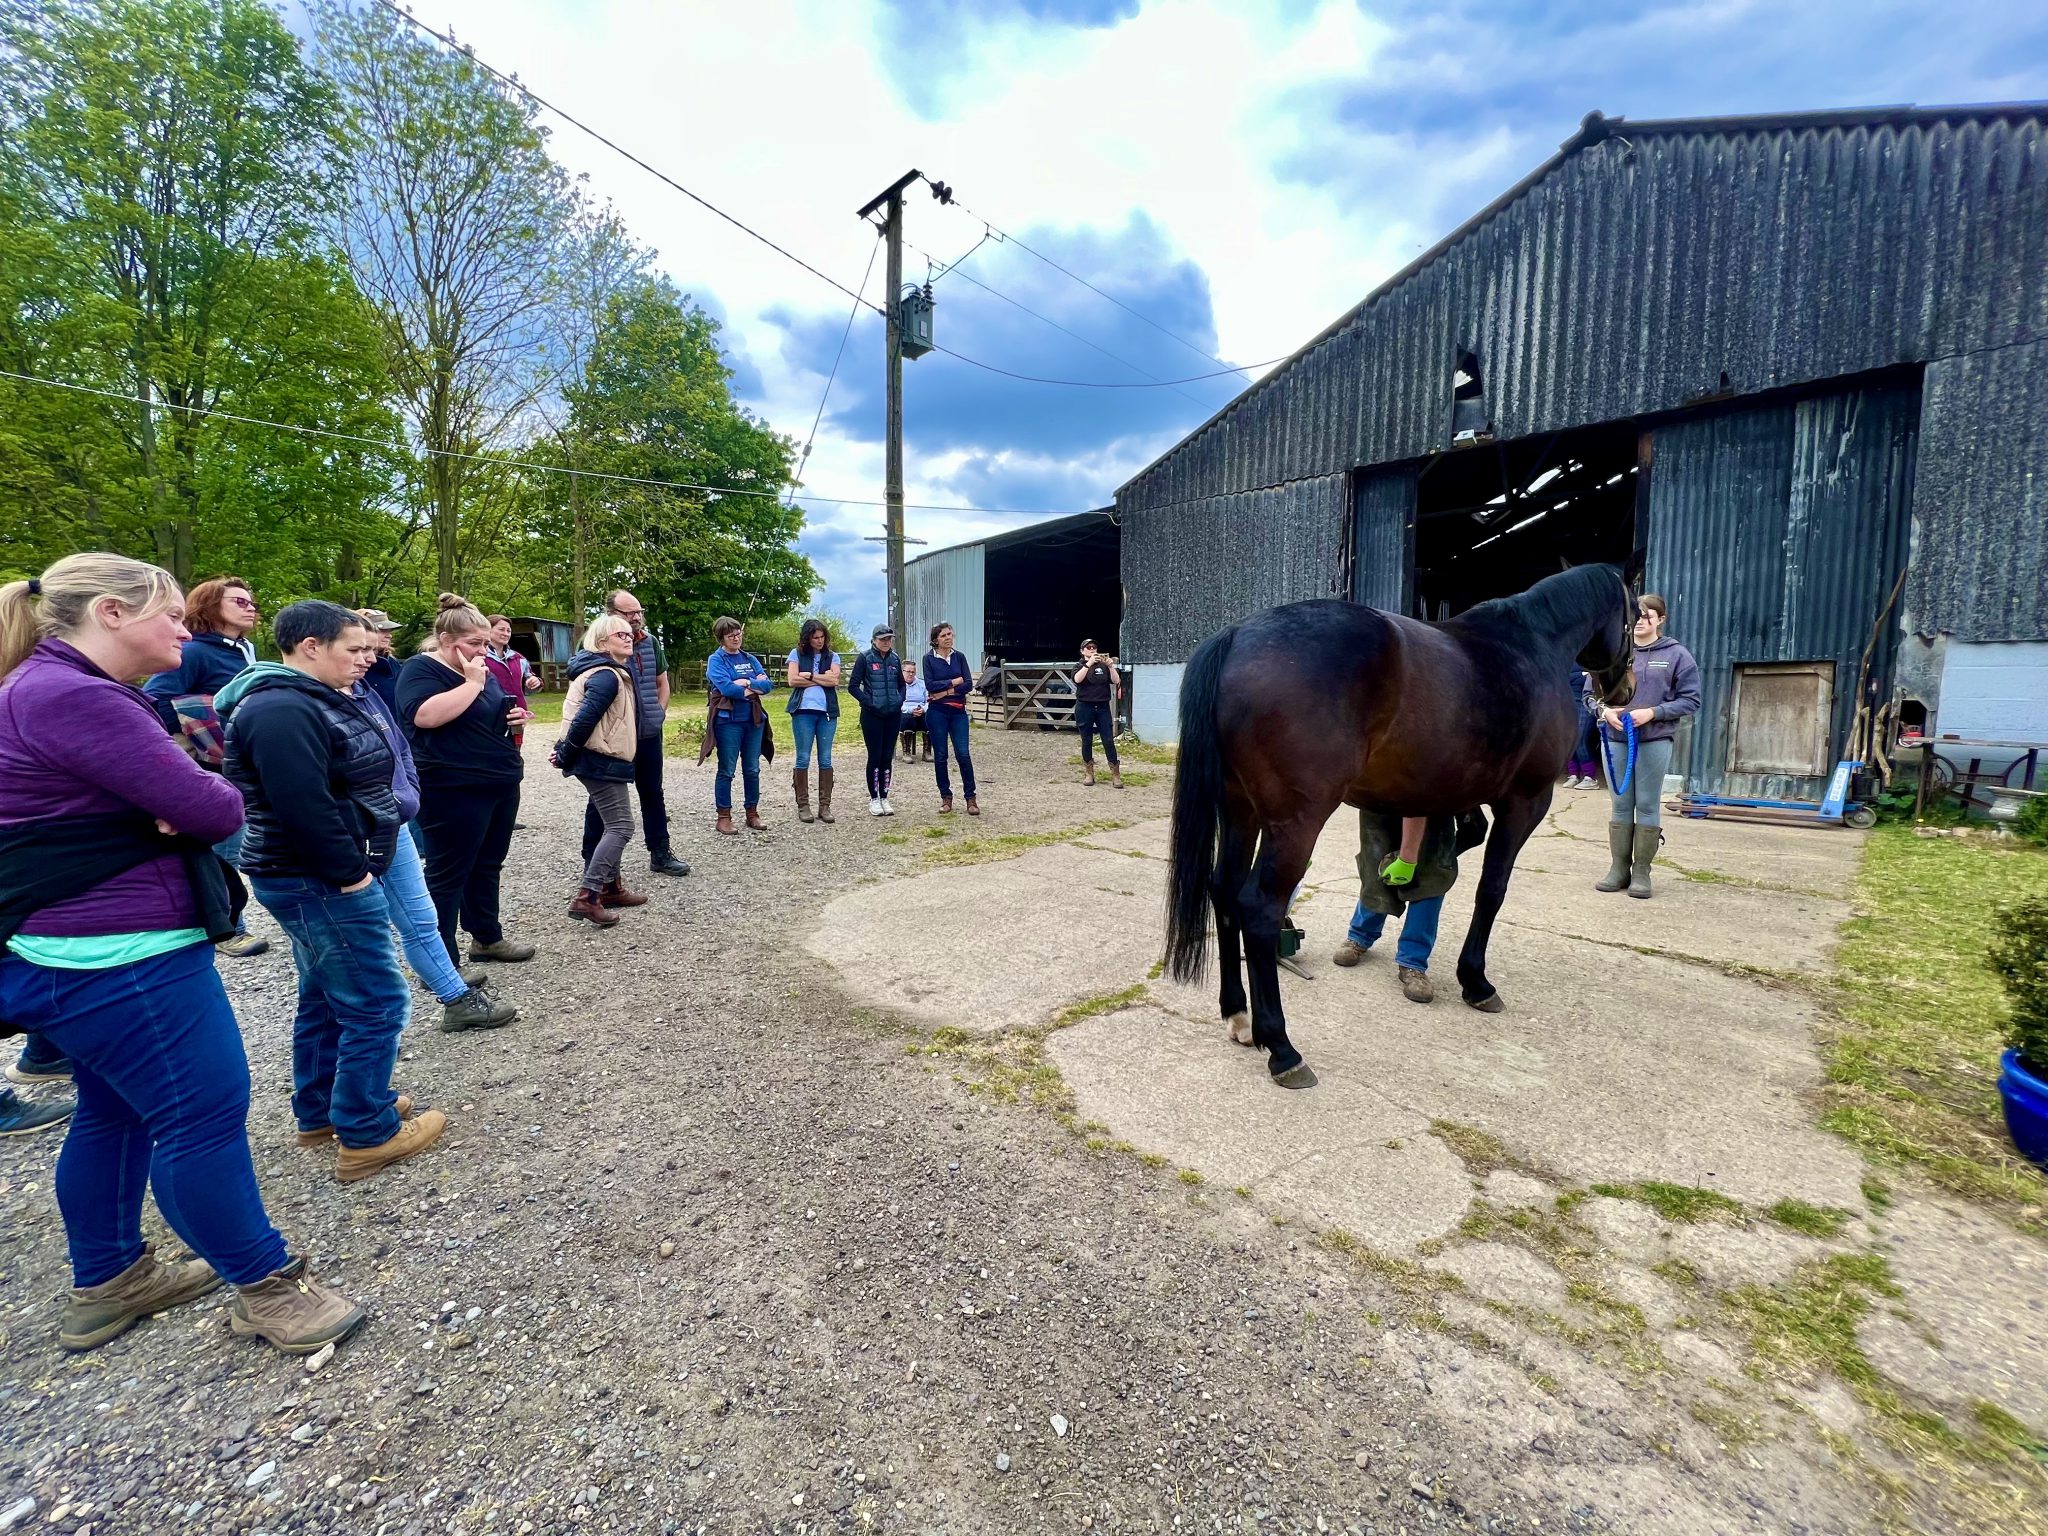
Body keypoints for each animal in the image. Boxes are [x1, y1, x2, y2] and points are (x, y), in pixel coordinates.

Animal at [1162, 559, 1642, 1090]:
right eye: (1636, 613)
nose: (1624, 690)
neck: (1533, 642)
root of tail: (1238, 636)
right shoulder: (1525, 802)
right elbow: (1491, 890)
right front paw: (1476, 981)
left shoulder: (1451, 796)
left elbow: (1457, 852)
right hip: (1294, 821)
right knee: (1260, 907)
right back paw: (1283, 1049)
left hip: (1240, 810)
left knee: (1224, 891)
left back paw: (1239, 1016)